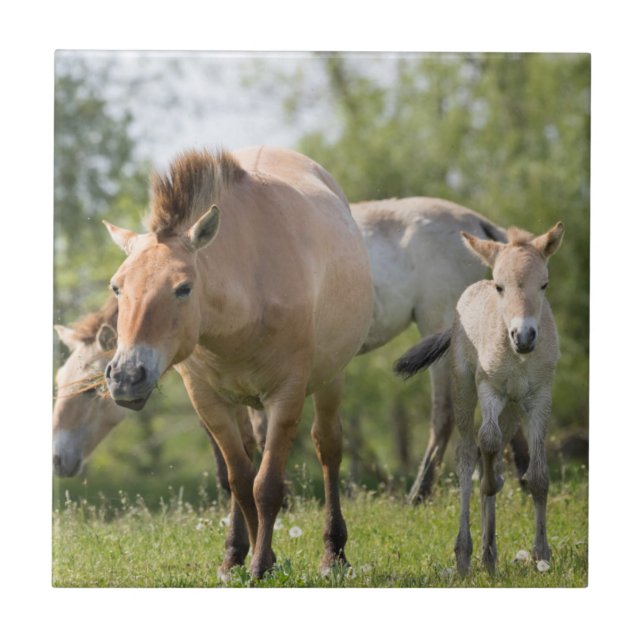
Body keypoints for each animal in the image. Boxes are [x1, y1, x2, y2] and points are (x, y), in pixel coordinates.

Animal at [101, 147, 373, 579]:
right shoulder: (208, 401)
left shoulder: (287, 396)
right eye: (117, 286)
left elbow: (267, 485)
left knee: (328, 448)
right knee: (245, 459)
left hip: (332, 379)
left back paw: (334, 554)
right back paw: (235, 552)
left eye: (183, 288)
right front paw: (258, 559)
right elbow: (241, 479)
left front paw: (261, 565)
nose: (126, 378)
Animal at [394, 221, 564, 575]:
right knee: (467, 456)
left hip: (512, 410)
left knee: (496, 454)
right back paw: (466, 554)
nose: (524, 336)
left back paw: (489, 554)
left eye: (544, 284)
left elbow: (538, 477)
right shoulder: (489, 390)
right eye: (500, 286)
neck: (518, 357)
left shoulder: (540, 398)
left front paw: (542, 555)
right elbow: (485, 447)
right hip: (464, 391)